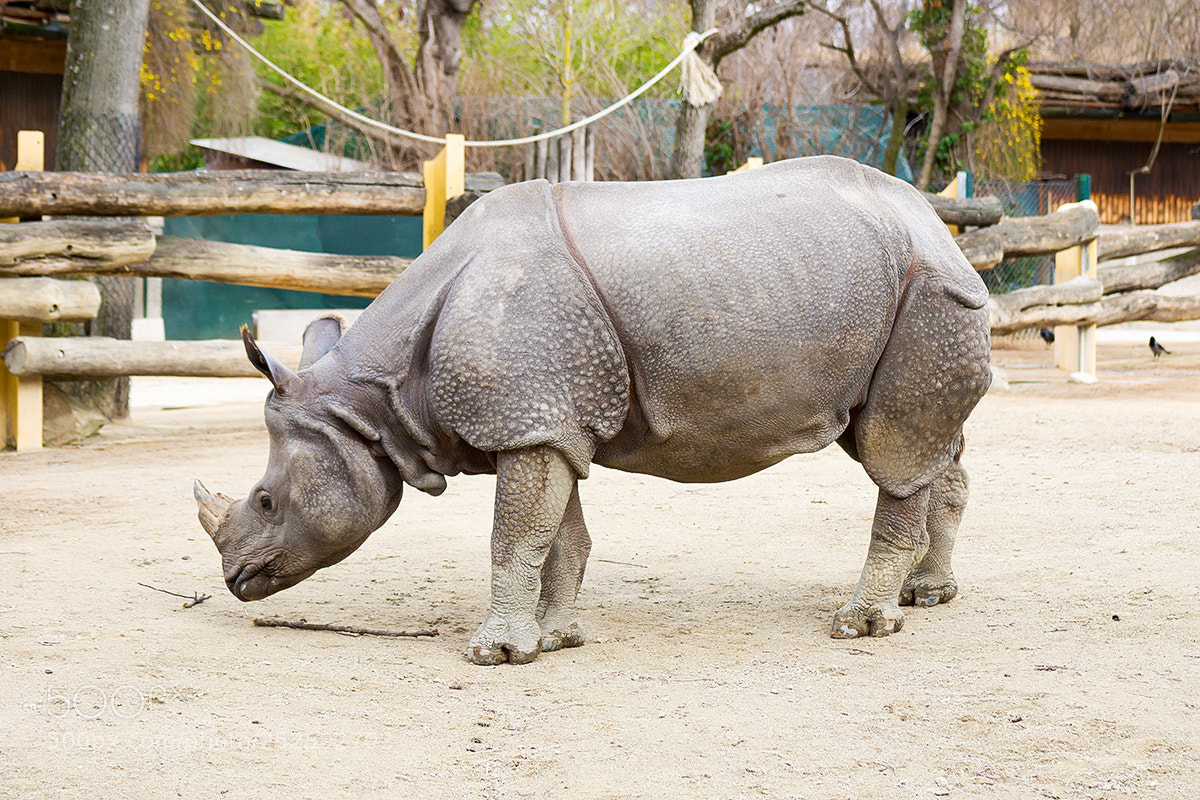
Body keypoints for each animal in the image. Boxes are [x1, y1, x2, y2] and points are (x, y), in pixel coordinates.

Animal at [194, 156, 991, 665]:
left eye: (265, 501)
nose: (236, 581)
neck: (370, 401)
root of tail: (935, 223)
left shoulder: (528, 419)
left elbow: (514, 537)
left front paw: (495, 653)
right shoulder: (548, 421)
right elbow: (559, 537)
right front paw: (554, 640)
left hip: (926, 291)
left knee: (893, 447)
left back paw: (862, 625)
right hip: (895, 293)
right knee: (917, 442)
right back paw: (928, 596)